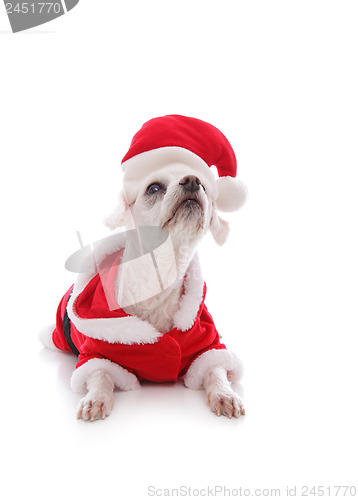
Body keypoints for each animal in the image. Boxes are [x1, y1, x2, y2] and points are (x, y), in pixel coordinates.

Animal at [39, 114, 246, 422]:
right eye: (154, 188)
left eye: (205, 187)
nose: (193, 180)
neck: (160, 276)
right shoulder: (95, 355)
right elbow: (100, 375)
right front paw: (96, 398)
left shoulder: (208, 346)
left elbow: (215, 369)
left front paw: (225, 393)